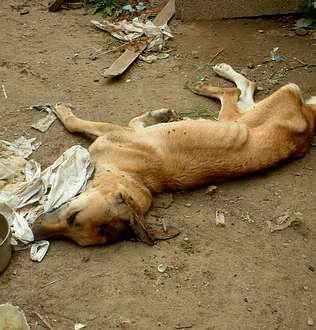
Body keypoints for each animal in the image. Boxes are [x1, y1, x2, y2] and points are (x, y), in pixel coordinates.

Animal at [32, 63, 316, 245]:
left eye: (73, 219)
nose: (34, 232)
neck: (132, 178)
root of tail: (309, 121)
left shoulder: (112, 132)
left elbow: (74, 123)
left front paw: (61, 110)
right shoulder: (131, 131)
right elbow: (139, 120)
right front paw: (160, 114)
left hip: (249, 111)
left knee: (233, 91)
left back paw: (205, 85)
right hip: (237, 117)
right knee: (244, 88)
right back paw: (218, 74)